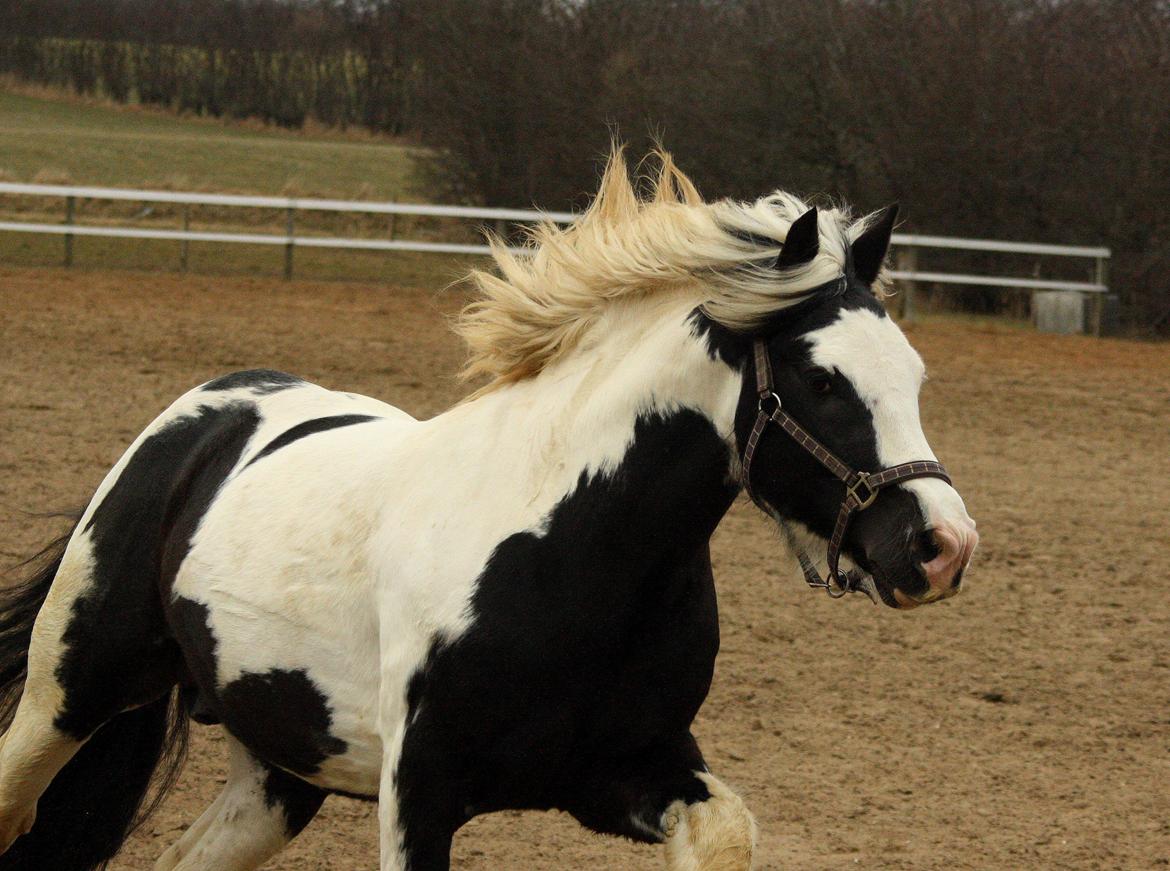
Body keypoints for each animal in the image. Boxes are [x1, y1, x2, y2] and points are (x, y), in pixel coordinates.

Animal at [0, 151, 978, 870]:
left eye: (916, 374)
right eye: (822, 380)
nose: (942, 545)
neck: (569, 553)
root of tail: (200, 419)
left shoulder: (630, 770)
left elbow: (726, 830)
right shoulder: (418, 792)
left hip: (281, 768)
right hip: (67, 693)